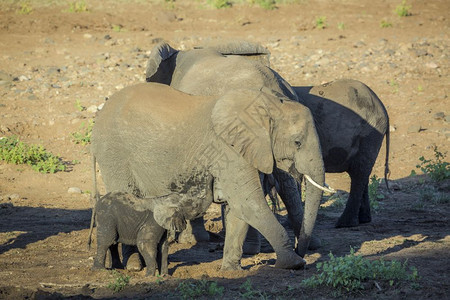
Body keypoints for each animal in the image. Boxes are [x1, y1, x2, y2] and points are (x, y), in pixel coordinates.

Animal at [90, 83, 326, 270]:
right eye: (297, 142)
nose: (301, 250)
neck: (265, 105)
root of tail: (99, 116)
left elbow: (238, 209)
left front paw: (231, 271)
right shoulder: (229, 150)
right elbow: (249, 204)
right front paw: (294, 264)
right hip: (114, 153)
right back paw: (133, 266)